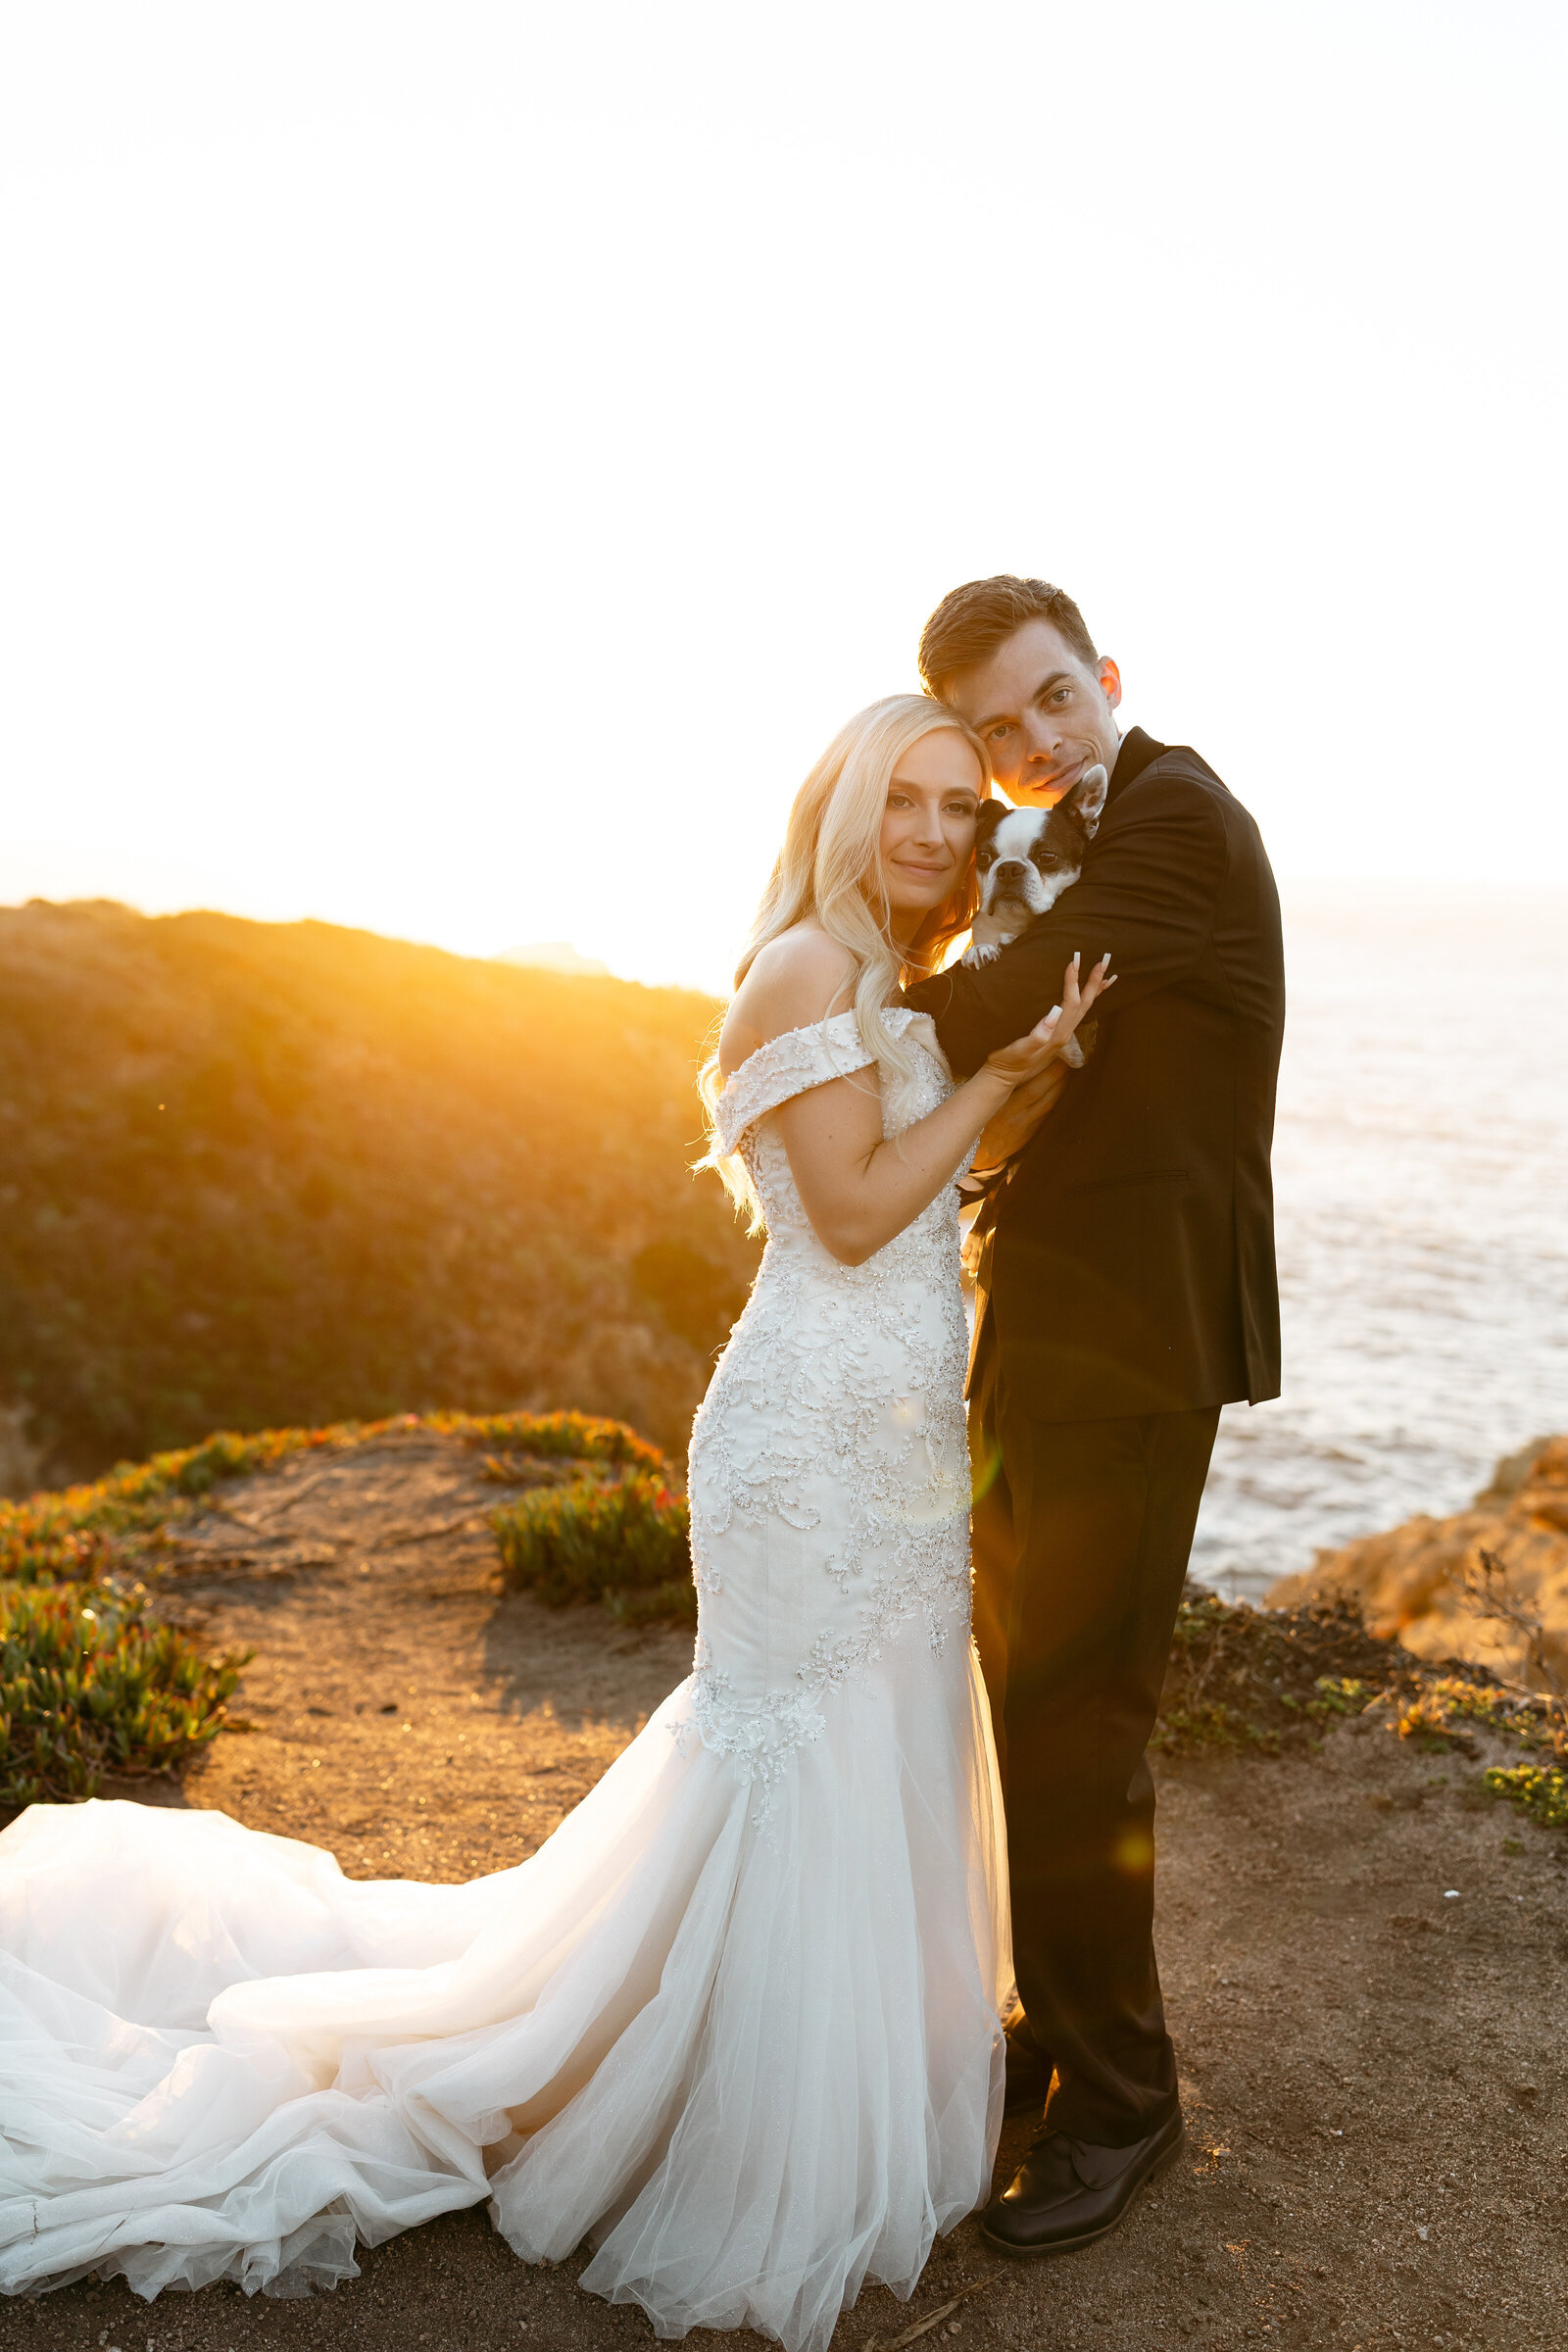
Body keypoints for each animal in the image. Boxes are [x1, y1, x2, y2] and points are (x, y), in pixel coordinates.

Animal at [963, 761, 1109, 1067]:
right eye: (984, 857)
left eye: (1047, 857)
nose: (1008, 868)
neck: (1016, 922)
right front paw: (979, 951)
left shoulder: (1081, 1047)